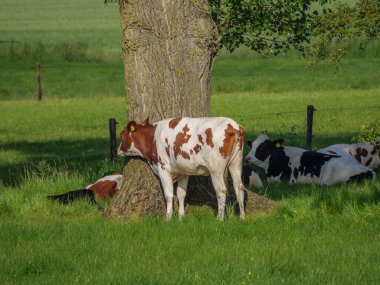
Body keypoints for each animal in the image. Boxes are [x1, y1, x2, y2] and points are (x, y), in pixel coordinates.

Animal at [117, 116, 245, 219]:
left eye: (121, 136)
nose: (118, 151)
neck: (152, 137)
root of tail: (234, 126)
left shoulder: (163, 168)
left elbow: (169, 195)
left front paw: (168, 217)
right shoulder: (184, 171)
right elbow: (181, 193)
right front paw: (181, 216)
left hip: (216, 169)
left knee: (221, 190)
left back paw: (220, 218)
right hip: (236, 163)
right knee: (239, 187)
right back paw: (242, 217)